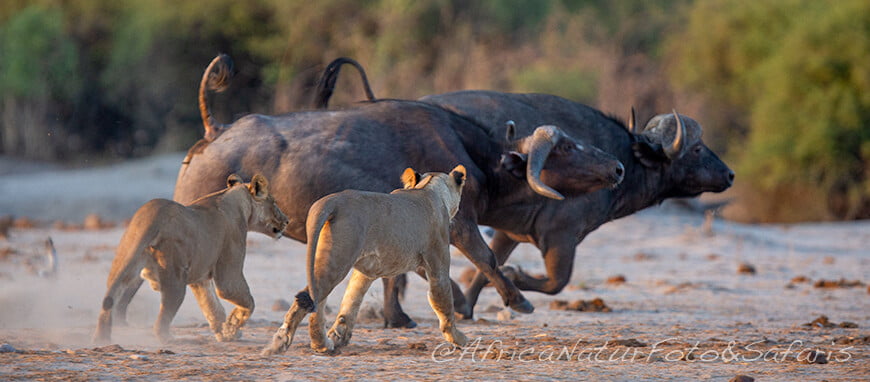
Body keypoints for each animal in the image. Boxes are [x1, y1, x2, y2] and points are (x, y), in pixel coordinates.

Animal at [93, 173, 288, 344]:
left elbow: (212, 307)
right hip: (175, 277)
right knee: (161, 320)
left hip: (125, 261)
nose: (287, 221)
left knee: (109, 301)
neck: (238, 203)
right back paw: (170, 339)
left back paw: (102, 339)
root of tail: (153, 216)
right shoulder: (228, 275)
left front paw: (226, 333)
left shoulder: (200, 277)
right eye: (274, 202)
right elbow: (247, 301)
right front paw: (233, 325)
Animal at [167, 54, 628, 328]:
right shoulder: (460, 223)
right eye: (565, 147)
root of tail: (216, 130)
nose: (618, 167)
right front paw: (514, 300)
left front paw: (399, 316)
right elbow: (487, 258)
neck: (472, 154)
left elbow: (398, 271)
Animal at [262, 165, 470, 356]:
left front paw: (340, 336)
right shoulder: (438, 264)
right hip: (338, 259)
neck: (429, 189)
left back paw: (306, 343)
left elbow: (351, 300)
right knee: (311, 299)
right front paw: (460, 339)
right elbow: (443, 301)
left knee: (316, 299)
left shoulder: (367, 270)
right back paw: (305, 343)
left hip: (325, 255)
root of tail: (335, 199)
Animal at [314, 57, 736, 322]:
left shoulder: (510, 231)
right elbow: (554, 282)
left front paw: (473, 303)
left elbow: (489, 266)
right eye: (697, 148)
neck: (625, 155)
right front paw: (514, 283)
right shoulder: (561, 236)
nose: (730, 175)